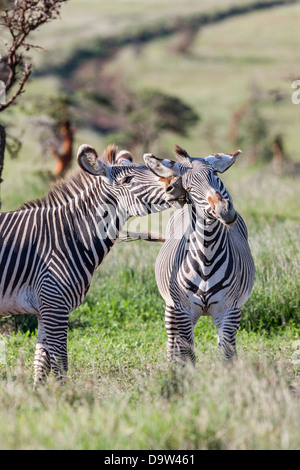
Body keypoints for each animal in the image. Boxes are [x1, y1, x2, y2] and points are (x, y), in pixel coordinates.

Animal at [0, 144, 186, 386]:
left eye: (148, 169)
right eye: (127, 180)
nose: (176, 184)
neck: (70, 234)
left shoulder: (44, 307)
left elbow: (41, 364)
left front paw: (40, 395)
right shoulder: (55, 303)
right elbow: (60, 363)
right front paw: (64, 395)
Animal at [144, 145, 254, 366]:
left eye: (215, 175)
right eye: (189, 186)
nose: (224, 210)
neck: (207, 255)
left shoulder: (229, 311)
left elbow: (227, 355)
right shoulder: (184, 310)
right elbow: (188, 354)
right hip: (171, 306)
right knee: (172, 339)